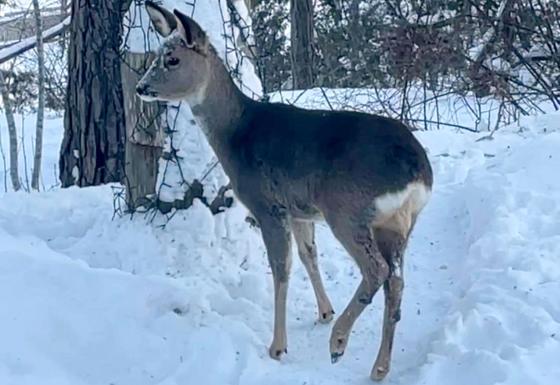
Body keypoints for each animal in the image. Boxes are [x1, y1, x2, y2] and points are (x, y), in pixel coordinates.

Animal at [137, 1, 434, 380]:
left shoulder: (267, 205)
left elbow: (281, 269)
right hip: (396, 223)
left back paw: (338, 344)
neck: (235, 132)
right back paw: (379, 367)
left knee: (376, 270)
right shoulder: (300, 210)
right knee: (395, 282)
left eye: (172, 59)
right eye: (157, 54)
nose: (141, 87)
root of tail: (419, 171)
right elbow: (309, 255)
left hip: (347, 209)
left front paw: (278, 346)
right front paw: (324, 312)